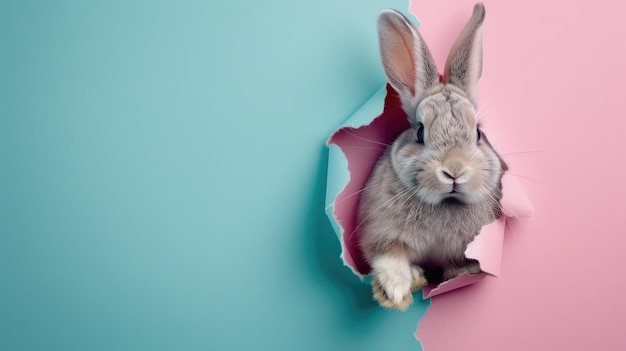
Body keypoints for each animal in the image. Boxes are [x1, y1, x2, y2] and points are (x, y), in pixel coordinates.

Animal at [358, 2, 504, 310]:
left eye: (478, 133)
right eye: (420, 132)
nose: (454, 170)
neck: (445, 203)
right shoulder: (380, 233)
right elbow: (389, 257)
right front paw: (396, 291)